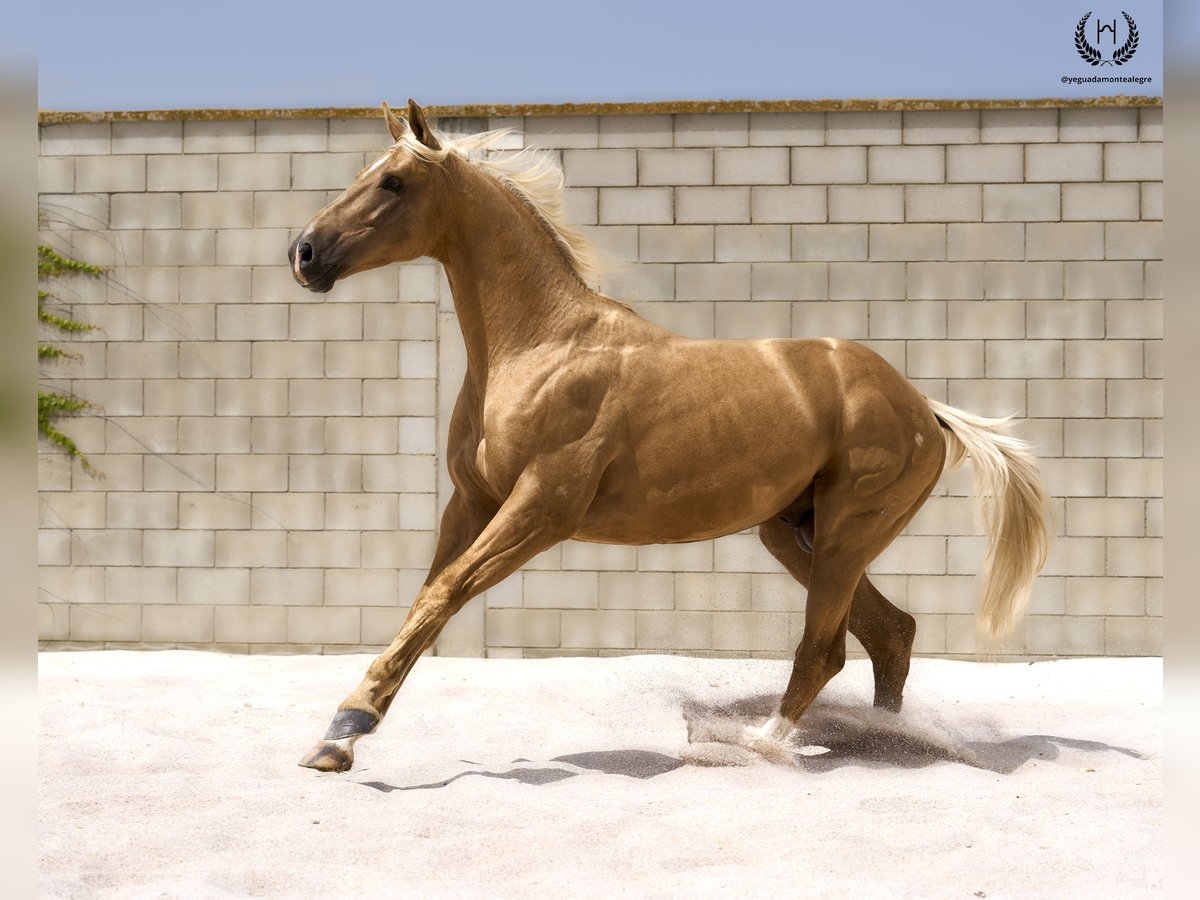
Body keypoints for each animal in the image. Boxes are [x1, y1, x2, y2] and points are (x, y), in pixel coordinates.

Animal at [288, 100, 1051, 777]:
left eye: (393, 181)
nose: (305, 253)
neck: (539, 345)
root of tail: (927, 410)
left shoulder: (539, 511)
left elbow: (443, 595)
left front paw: (347, 727)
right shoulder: (471, 503)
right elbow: (426, 601)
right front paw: (338, 741)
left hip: (845, 534)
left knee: (826, 649)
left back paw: (760, 744)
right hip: (796, 534)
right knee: (890, 634)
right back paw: (878, 740)